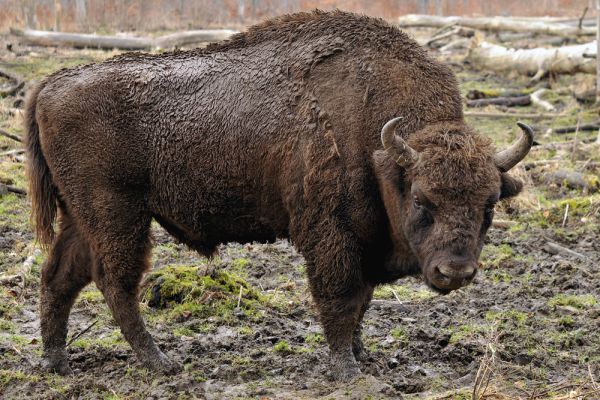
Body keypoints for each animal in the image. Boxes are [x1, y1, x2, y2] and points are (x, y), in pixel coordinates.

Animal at [25, 8, 532, 378]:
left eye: (490, 204)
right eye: (423, 200)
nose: (456, 272)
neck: (380, 149)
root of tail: (50, 83)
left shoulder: (364, 241)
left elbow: (362, 301)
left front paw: (362, 355)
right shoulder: (331, 235)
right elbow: (341, 298)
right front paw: (347, 369)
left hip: (81, 216)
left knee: (60, 277)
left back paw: (56, 362)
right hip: (118, 214)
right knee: (114, 282)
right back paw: (161, 362)